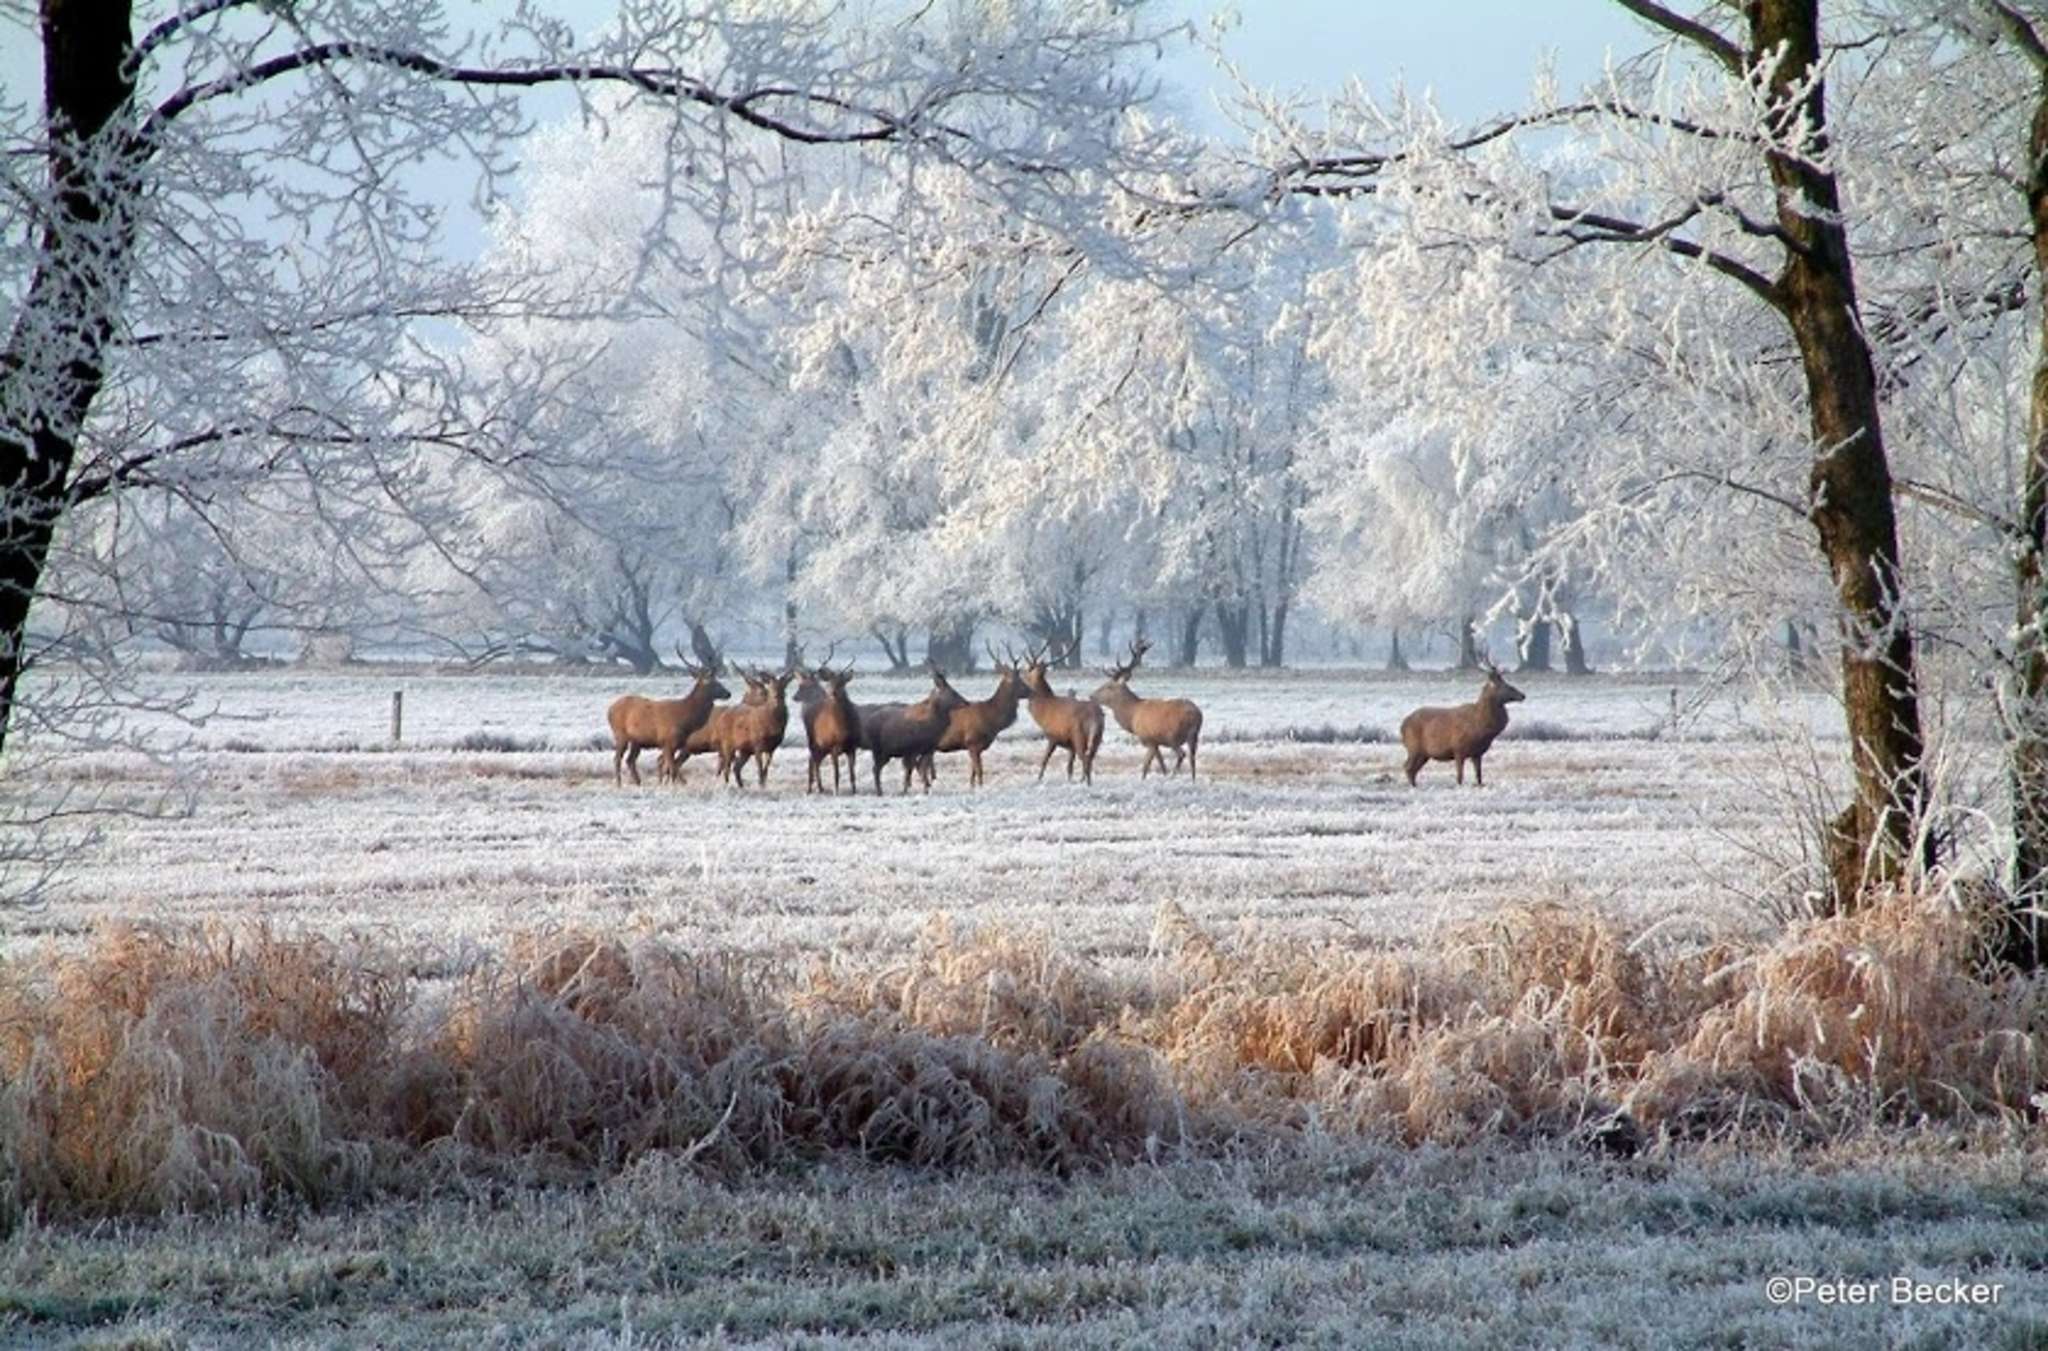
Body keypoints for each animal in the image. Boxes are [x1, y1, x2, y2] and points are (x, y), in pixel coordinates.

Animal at [602, 646, 733, 786]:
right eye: (715, 683)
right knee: (617, 758)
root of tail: (609, 710)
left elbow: (671, 767)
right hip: (620, 734)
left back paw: (638, 782)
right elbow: (673, 767)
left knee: (630, 760)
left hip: (637, 741)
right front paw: (677, 784)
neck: (685, 720)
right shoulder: (668, 741)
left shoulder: (675, 744)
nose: (728, 693)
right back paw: (619, 783)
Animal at [937, 646, 1032, 786]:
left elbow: (973, 772)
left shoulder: (976, 747)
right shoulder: (972, 742)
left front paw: (972, 787)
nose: (1032, 691)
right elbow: (980, 771)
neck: (991, 719)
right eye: (1019, 681)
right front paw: (981, 787)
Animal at [1019, 642, 1105, 786]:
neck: (1043, 710)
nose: (1020, 675)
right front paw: (1070, 780)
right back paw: (1084, 780)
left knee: (1085, 758)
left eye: (1028, 671)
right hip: (1097, 736)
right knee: (1090, 758)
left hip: (1078, 735)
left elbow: (1045, 759)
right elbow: (1069, 766)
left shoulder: (1053, 736)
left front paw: (1038, 778)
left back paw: (1086, 783)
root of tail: (1095, 717)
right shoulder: (1070, 745)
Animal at [1097, 642, 1204, 786]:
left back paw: (1173, 776)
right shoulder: (1156, 742)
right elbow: (1161, 763)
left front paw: (1143, 780)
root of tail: (1197, 715)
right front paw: (1163, 775)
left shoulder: (1149, 739)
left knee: (1182, 754)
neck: (1132, 717)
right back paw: (1192, 781)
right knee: (1192, 757)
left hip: (1173, 736)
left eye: (1108, 686)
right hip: (1194, 736)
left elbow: (1146, 765)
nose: (1091, 695)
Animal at [1400, 663, 1531, 786]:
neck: (1481, 728)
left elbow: (1479, 776)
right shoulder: (1458, 749)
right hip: (1413, 748)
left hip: (1424, 754)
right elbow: (1460, 777)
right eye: (1507, 686)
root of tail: (1402, 726)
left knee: (1412, 769)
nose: (1523, 695)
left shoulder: (1477, 753)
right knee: (1407, 767)